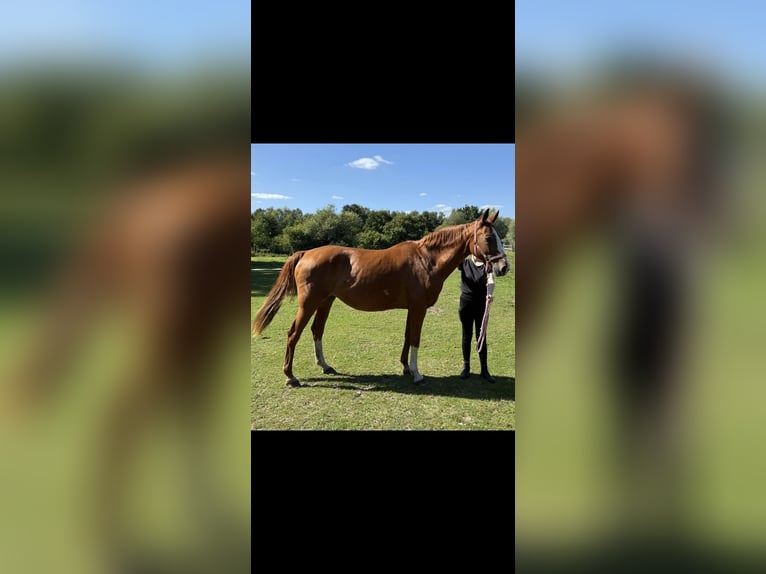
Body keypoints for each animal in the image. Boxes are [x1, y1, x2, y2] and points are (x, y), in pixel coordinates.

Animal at [252, 209, 509, 387]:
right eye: (488, 238)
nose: (504, 267)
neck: (426, 260)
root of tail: (306, 253)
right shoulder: (419, 308)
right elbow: (415, 338)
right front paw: (417, 375)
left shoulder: (412, 309)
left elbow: (407, 337)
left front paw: (406, 368)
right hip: (309, 304)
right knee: (293, 334)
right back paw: (290, 377)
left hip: (325, 302)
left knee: (317, 331)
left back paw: (325, 366)